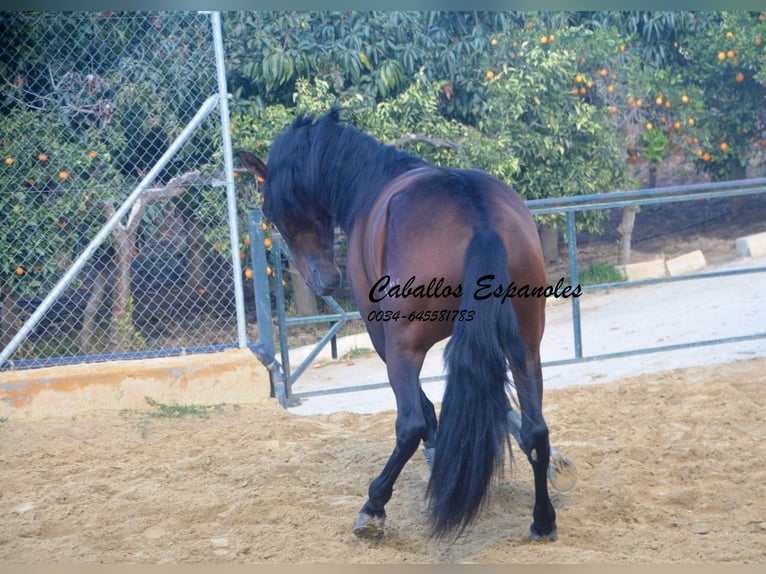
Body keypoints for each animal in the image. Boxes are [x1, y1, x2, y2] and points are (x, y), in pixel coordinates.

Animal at [238, 109, 564, 544]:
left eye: (271, 213)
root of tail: (478, 218)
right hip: (526, 345)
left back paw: (373, 507)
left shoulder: (385, 340)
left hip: (403, 347)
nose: (324, 281)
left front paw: (430, 453)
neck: (371, 181)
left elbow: (423, 411)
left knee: (410, 423)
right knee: (536, 430)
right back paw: (542, 519)